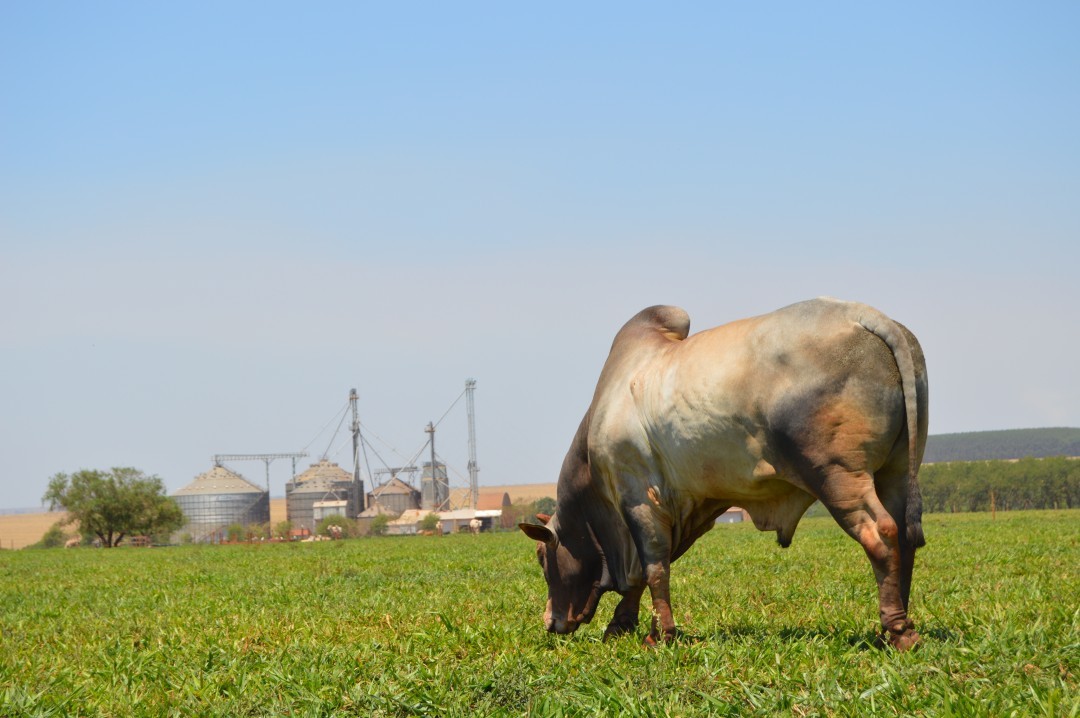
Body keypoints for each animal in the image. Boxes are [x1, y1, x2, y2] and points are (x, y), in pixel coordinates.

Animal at [518, 295, 924, 647]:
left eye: (541, 557)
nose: (550, 622)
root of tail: (864, 315)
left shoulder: (636, 498)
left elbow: (653, 567)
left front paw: (659, 635)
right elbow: (643, 574)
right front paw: (621, 625)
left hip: (836, 475)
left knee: (881, 533)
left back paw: (898, 631)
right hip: (896, 472)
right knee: (905, 538)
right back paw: (893, 624)